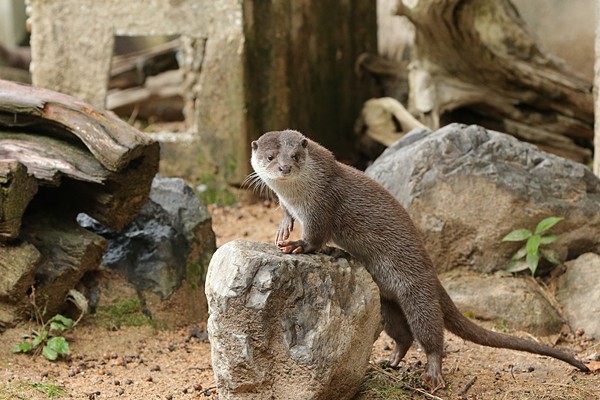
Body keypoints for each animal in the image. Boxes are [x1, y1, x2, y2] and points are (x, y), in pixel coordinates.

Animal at [248, 130, 592, 390]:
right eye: (270, 156)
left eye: (295, 156)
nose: (284, 168)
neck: (299, 196)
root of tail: (433, 275)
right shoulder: (291, 204)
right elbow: (285, 214)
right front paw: (282, 228)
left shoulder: (322, 208)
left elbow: (316, 238)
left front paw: (296, 245)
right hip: (387, 303)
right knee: (403, 336)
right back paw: (391, 361)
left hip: (417, 292)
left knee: (430, 336)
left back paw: (433, 374)